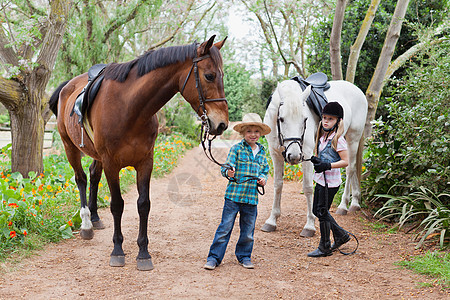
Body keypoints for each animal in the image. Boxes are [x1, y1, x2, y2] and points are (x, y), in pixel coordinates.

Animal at [49, 35, 229, 270]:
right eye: (209, 76)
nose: (222, 124)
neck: (129, 108)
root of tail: (67, 87)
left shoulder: (145, 162)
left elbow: (144, 204)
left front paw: (143, 253)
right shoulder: (112, 164)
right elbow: (117, 205)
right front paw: (117, 250)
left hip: (96, 155)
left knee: (94, 175)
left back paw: (95, 217)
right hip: (69, 146)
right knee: (81, 179)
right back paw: (87, 223)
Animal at [262, 79, 368, 237]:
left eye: (305, 119)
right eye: (281, 119)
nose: (294, 156)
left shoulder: (306, 154)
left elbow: (307, 187)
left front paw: (310, 225)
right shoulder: (275, 154)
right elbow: (278, 185)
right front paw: (272, 220)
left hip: (352, 139)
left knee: (350, 169)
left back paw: (343, 205)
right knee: (354, 168)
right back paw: (355, 202)